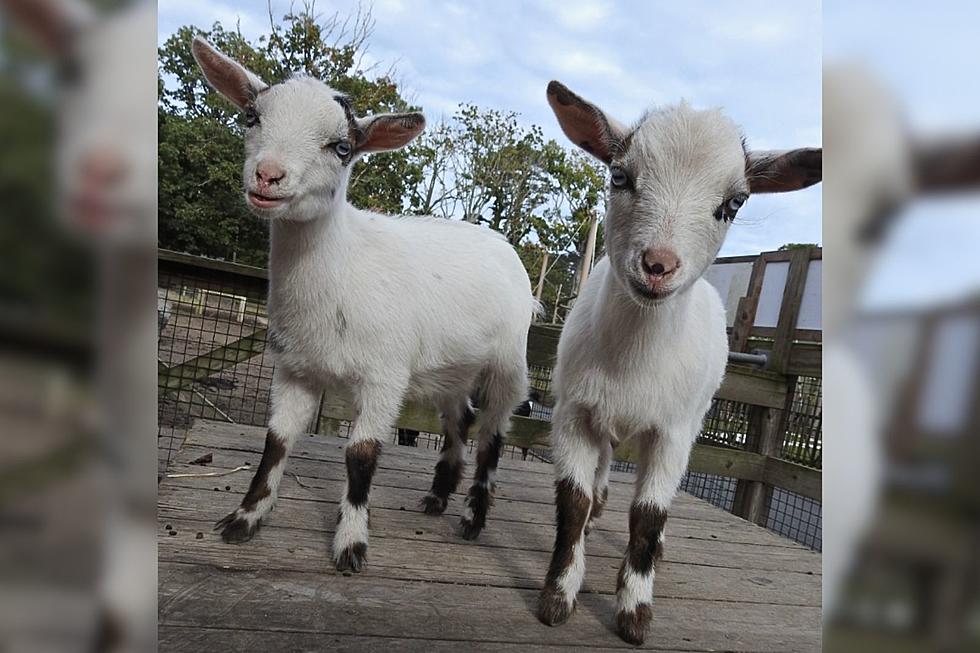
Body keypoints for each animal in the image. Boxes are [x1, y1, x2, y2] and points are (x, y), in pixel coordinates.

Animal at [192, 38, 536, 572]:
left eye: (341, 147)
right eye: (251, 116)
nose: (268, 176)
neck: (341, 268)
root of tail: (499, 243)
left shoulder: (384, 377)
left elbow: (361, 454)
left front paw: (351, 544)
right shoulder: (294, 369)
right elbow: (276, 442)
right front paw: (245, 519)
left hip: (507, 364)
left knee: (494, 435)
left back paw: (473, 518)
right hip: (450, 367)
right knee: (458, 420)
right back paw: (438, 497)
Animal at [536, 80, 820, 640]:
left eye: (734, 202)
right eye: (620, 176)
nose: (658, 265)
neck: (634, 360)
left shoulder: (672, 431)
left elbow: (649, 514)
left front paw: (634, 612)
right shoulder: (572, 413)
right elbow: (573, 502)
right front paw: (558, 597)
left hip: (695, 417)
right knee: (601, 475)